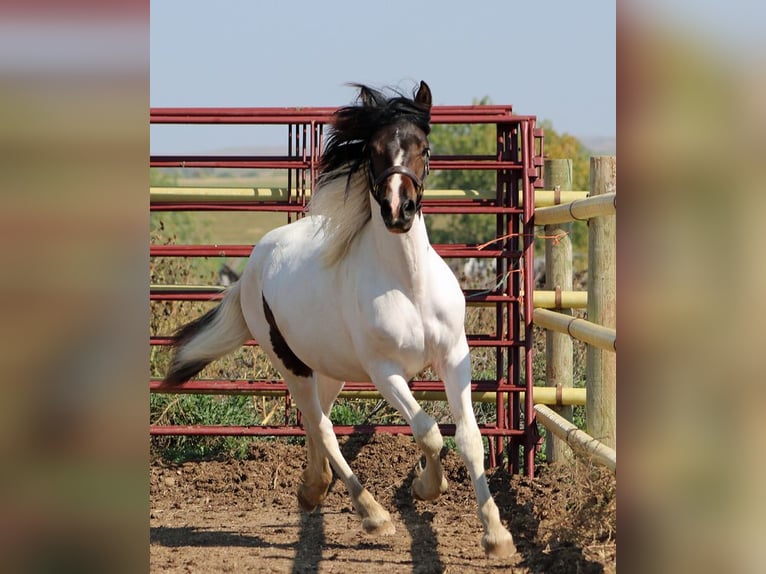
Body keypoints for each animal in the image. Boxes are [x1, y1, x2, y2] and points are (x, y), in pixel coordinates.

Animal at [163, 81, 516, 558]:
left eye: (423, 148)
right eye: (373, 150)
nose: (398, 210)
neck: (409, 284)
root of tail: (256, 262)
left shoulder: (454, 357)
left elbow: (469, 438)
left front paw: (496, 535)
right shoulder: (384, 371)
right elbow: (427, 430)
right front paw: (425, 488)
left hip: (327, 368)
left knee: (317, 421)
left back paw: (313, 489)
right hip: (290, 364)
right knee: (324, 426)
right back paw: (373, 514)